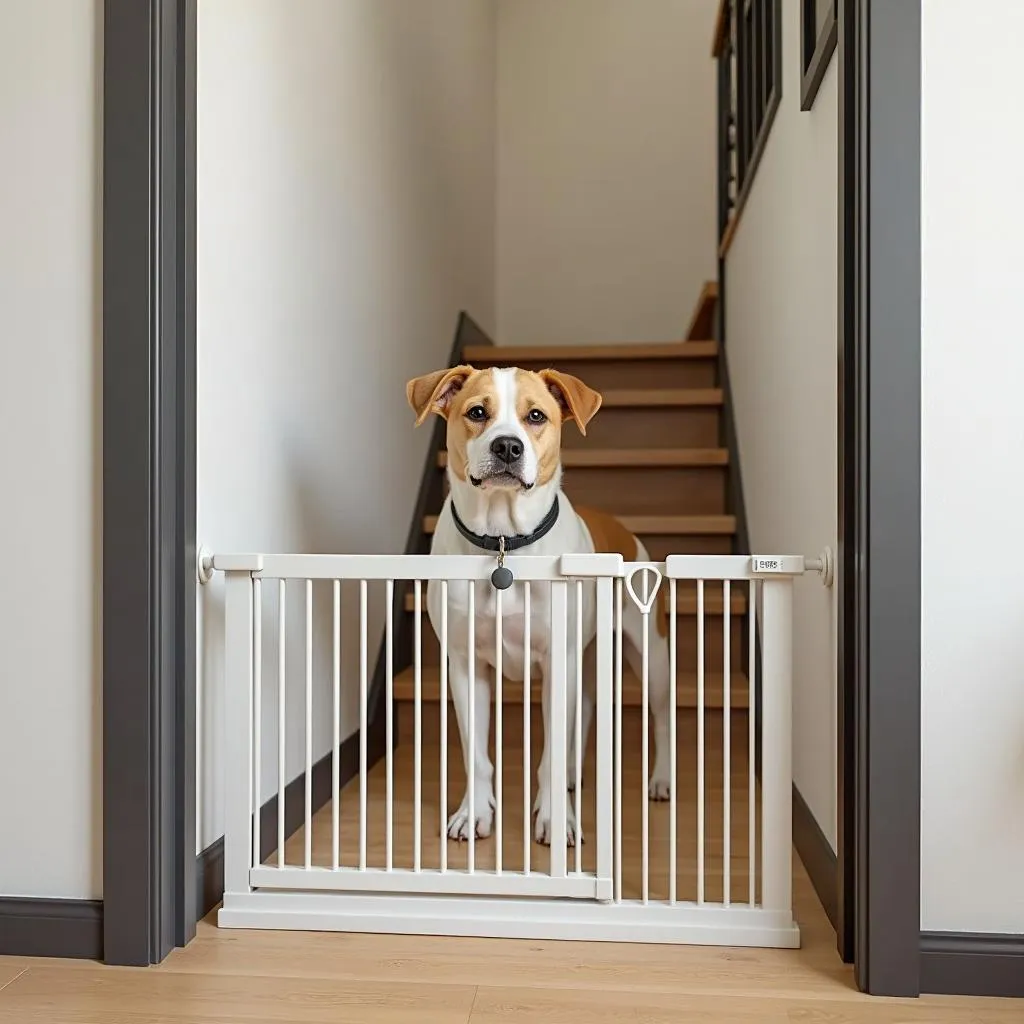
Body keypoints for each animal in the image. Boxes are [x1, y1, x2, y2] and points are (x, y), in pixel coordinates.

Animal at [403, 364, 675, 843]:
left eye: (535, 416)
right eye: (477, 411)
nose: (508, 446)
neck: (503, 543)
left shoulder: (557, 660)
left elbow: (549, 753)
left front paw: (556, 819)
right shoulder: (466, 665)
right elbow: (477, 754)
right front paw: (474, 813)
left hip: (650, 654)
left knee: (659, 716)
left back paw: (659, 780)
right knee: (583, 711)